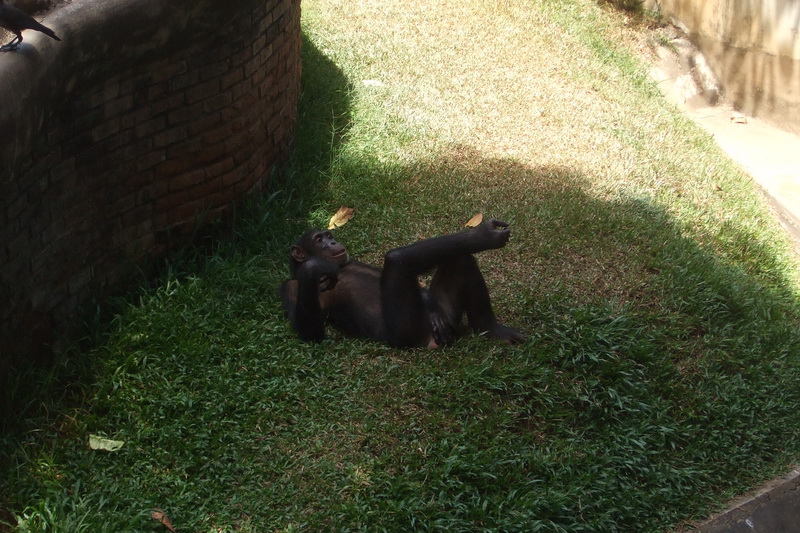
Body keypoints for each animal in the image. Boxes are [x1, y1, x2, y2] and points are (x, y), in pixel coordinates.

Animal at [282, 218, 524, 348]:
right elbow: (310, 333)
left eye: (329, 235)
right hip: (409, 331)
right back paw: (483, 236)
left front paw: (431, 307)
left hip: (447, 320)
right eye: (319, 239)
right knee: (396, 257)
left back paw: (493, 330)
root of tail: (431, 342)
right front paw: (313, 267)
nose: (332, 242)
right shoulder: (289, 287)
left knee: (460, 258)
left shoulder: (352, 259)